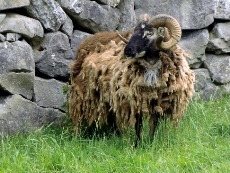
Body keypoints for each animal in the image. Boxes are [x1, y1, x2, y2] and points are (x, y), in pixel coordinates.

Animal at [69, 14, 195, 145]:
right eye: (134, 31)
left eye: (149, 33)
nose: (127, 50)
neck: (151, 64)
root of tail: (86, 41)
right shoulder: (136, 98)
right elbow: (138, 124)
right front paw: (137, 144)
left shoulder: (157, 101)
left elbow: (154, 124)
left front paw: (150, 143)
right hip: (82, 93)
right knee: (79, 115)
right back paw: (78, 137)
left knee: (112, 116)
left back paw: (116, 135)